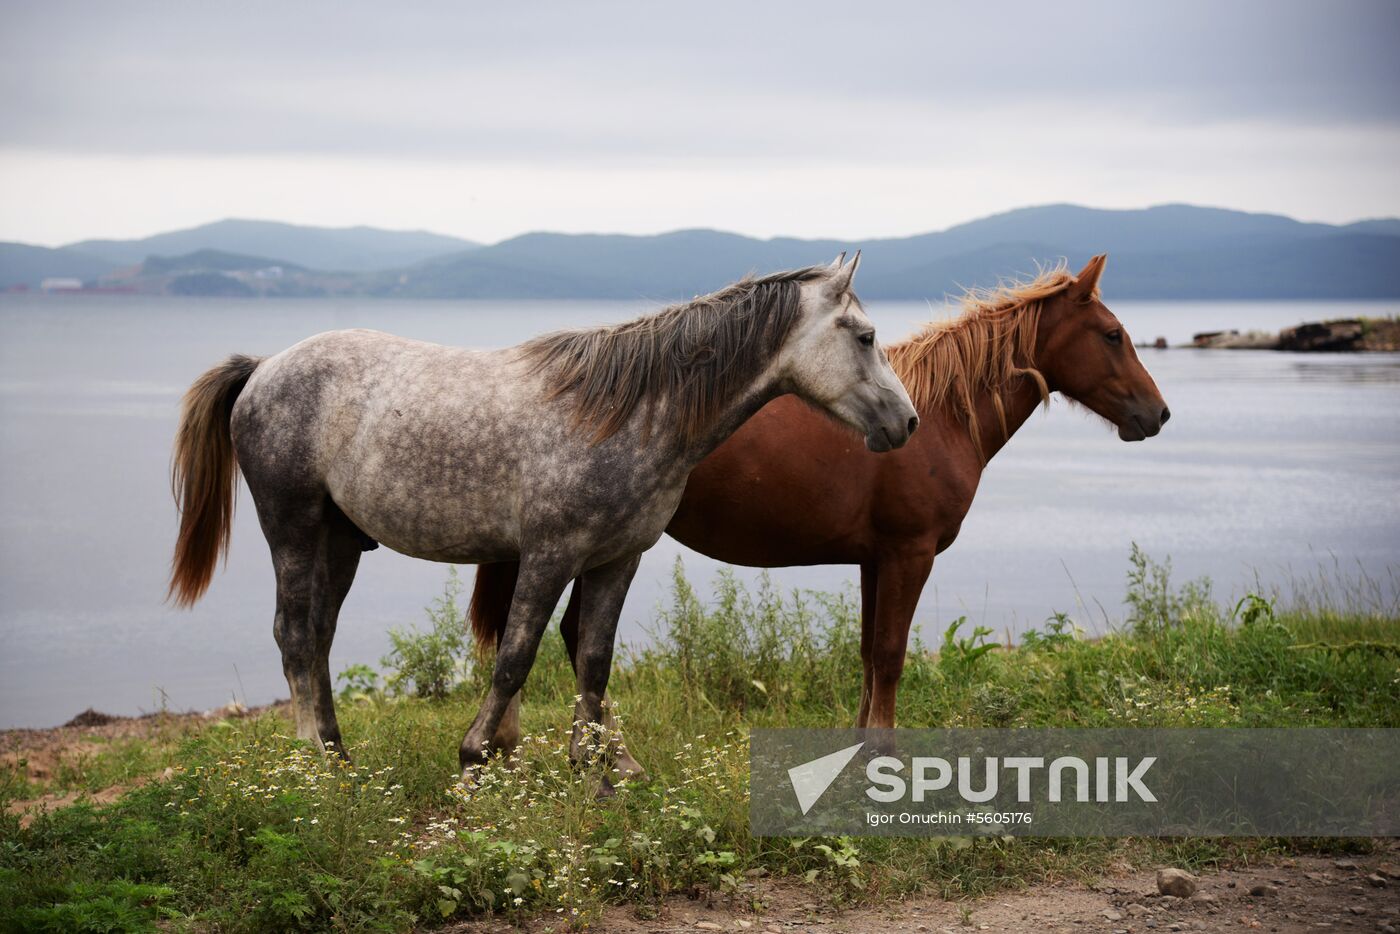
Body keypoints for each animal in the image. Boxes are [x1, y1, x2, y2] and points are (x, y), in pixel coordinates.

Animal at [169, 256, 918, 789]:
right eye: (866, 335)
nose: (906, 422)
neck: (631, 414)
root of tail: (264, 368)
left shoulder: (617, 559)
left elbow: (594, 660)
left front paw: (600, 773)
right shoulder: (550, 555)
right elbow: (515, 657)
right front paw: (476, 757)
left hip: (340, 539)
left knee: (318, 637)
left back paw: (337, 754)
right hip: (292, 526)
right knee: (295, 635)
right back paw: (313, 768)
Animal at [470, 256, 1170, 772]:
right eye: (1112, 334)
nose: (1158, 414)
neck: (942, 417)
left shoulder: (876, 560)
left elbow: (868, 652)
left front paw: (861, 744)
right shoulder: (909, 554)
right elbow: (890, 653)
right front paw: (884, 755)